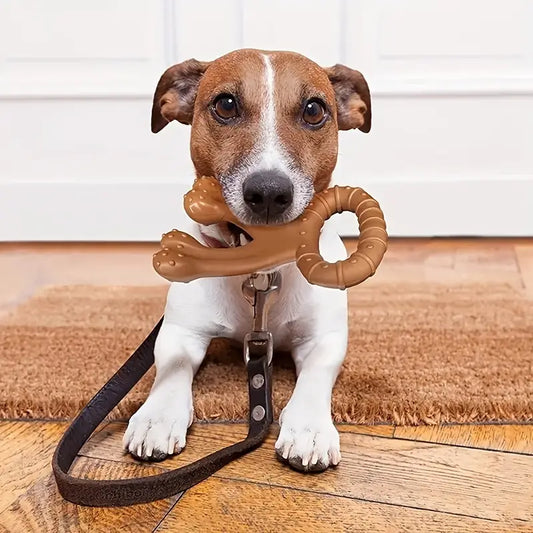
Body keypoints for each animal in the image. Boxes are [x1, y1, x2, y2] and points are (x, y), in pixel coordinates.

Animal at [122, 48, 370, 470]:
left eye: (314, 110)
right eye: (225, 104)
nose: (269, 192)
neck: (259, 268)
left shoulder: (323, 339)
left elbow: (316, 375)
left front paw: (309, 427)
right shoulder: (180, 332)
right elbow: (171, 368)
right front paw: (158, 415)